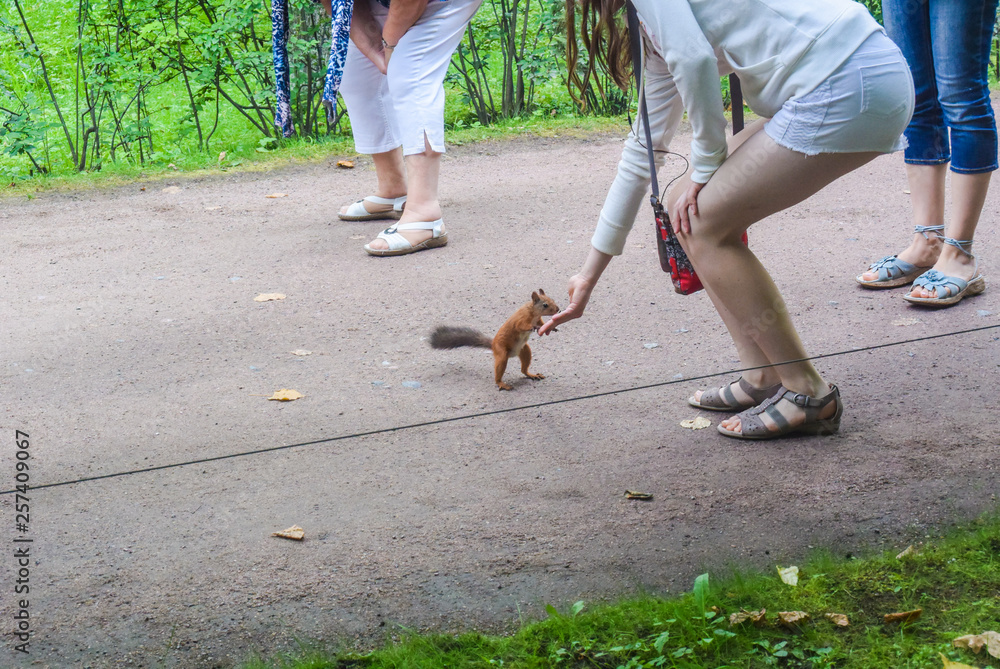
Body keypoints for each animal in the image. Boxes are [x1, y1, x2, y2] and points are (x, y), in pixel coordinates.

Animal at [430, 289, 560, 390]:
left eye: (552, 299)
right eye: (545, 305)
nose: (558, 309)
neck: (533, 312)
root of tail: (492, 345)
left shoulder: (538, 319)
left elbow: (541, 323)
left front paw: (552, 327)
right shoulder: (521, 319)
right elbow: (521, 326)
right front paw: (534, 327)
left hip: (525, 350)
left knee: (524, 369)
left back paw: (531, 375)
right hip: (502, 354)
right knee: (499, 372)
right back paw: (502, 383)